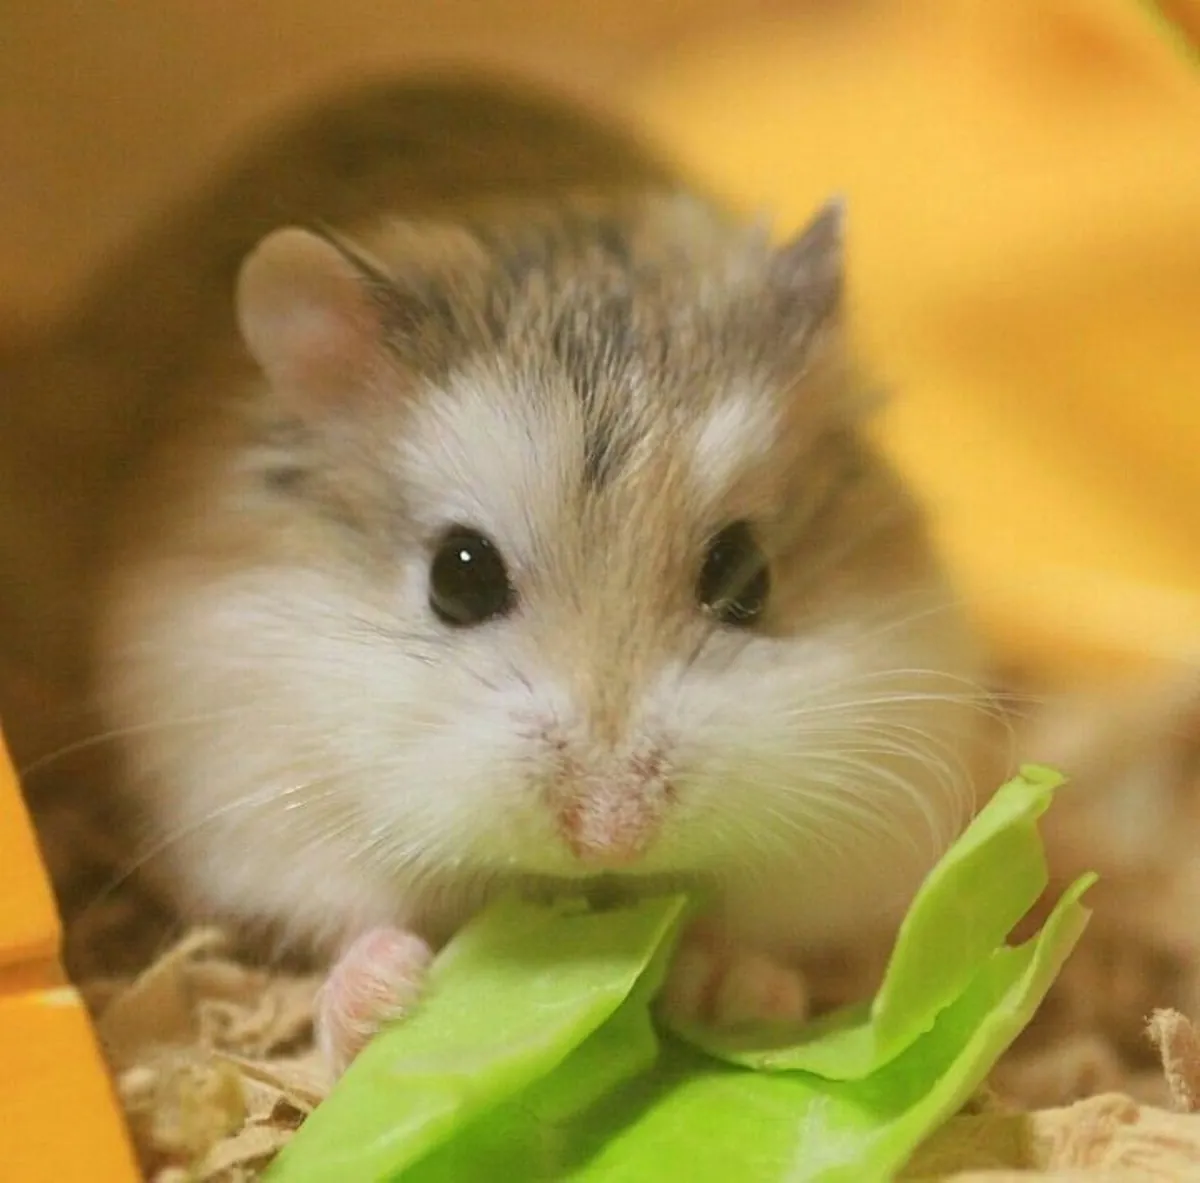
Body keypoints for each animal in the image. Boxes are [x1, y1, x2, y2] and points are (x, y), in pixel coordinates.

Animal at [71, 75, 988, 1074]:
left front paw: (738, 991)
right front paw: (385, 1000)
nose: (611, 833)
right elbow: (351, 909)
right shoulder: (253, 785)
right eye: (458, 576)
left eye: (748, 573)